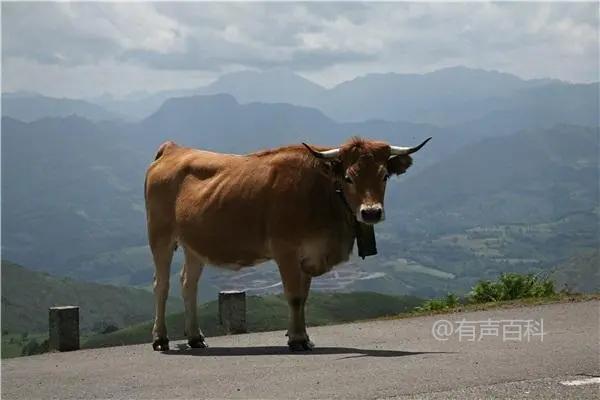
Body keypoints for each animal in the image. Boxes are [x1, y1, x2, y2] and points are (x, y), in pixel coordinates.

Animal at [143, 137, 428, 350]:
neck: (322, 191)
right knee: (162, 285)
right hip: (160, 236)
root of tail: (174, 149)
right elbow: (293, 296)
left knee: (188, 284)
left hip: (195, 244)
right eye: (349, 177)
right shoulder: (286, 250)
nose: (371, 212)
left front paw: (302, 337)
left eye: (384, 176)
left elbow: (304, 297)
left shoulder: (310, 253)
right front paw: (298, 339)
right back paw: (161, 338)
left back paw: (194, 336)